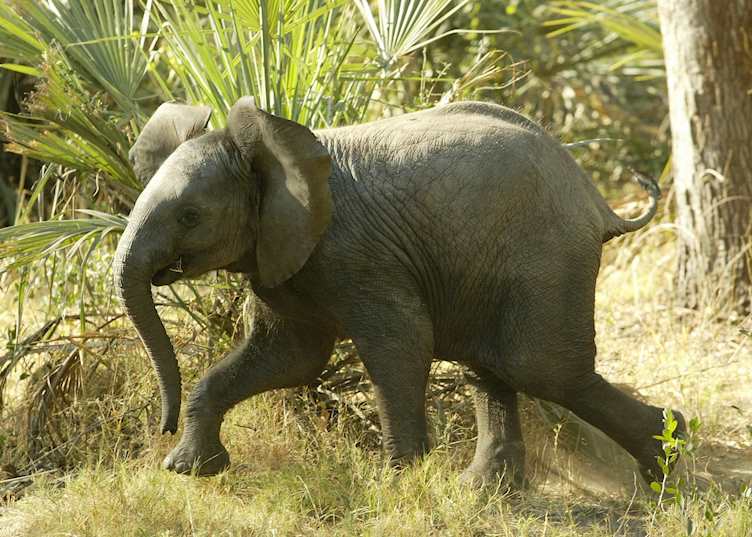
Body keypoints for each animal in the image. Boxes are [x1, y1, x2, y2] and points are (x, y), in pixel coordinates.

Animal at [113, 98, 685, 486]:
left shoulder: (357, 254)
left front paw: (396, 481)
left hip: (545, 255)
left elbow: (399, 344)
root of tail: (596, 199)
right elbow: (290, 356)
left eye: (190, 216)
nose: (160, 427)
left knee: (540, 368)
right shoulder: (282, 255)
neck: (272, 150)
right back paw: (485, 491)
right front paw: (187, 470)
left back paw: (668, 458)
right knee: (493, 365)